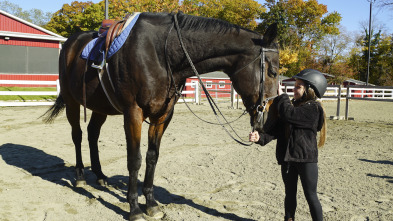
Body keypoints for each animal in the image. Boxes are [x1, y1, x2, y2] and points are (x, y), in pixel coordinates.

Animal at [43, 11, 278, 221]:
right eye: (273, 71)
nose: (265, 119)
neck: (161, 54)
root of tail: (71, 43)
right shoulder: (133, 113)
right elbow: (135, 160)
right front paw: (134, 209)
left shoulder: (163, 115)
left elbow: (152, 157)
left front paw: (151, 204)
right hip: (72, 102)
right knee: (77, 135)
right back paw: (80, 177)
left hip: (101, 107)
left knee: (92, 134)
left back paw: (100, 176)